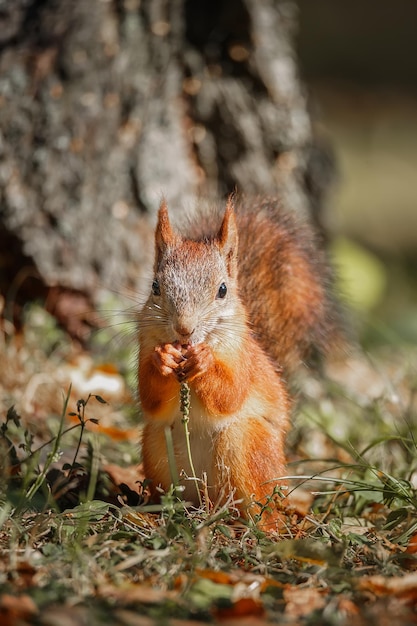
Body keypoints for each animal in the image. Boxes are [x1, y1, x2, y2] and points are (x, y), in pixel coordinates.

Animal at [138, 195, 340, 528]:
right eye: (155, 287)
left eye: (222, 290)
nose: (184, 329)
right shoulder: (143, 341)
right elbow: (149, 399)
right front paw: (163, 358)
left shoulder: (243, 357)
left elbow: (230, 395)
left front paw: (204, 362)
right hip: (157, 449)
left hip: (246, 446)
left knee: (261, 506)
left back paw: (263, 525)